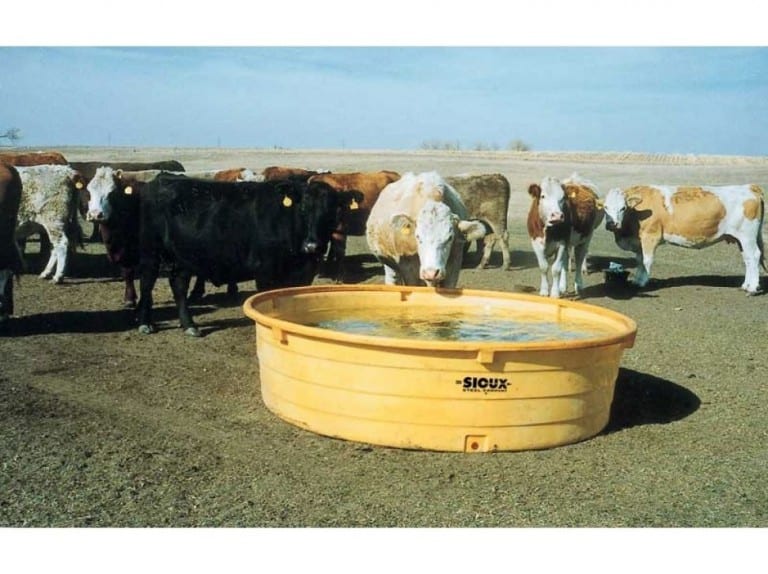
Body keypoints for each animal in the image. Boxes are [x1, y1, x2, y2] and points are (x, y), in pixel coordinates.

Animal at [91, 170, 360, 336]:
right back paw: (146, 323)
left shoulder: (303, 274)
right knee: (147, 282)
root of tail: (161, 179)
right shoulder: (265, 271)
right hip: (151, 252)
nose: (313, 246)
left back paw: (189, 325)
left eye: (332, 211)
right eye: (303, 209)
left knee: (178, 285)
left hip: (183, 256)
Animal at [603, 183, 765, 295]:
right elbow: (639, 260)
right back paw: (746, 285)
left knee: (754, 256)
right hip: (740, 239)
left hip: (747, 236)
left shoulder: (650, 236)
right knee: (747, 259)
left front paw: (642, 282)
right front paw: (637, 280)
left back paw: (752, 288)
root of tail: (750, 187)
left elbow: (646, 260)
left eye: (623, 208)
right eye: (605, 207)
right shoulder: (639, 241)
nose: (611, 224)